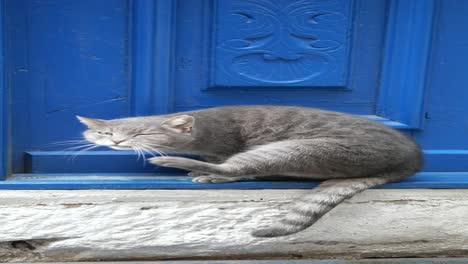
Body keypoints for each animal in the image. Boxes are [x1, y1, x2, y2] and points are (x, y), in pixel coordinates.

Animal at [77, 105, 424, 237]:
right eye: (106, 133)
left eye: (141, 134)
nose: (117, 142)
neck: (204, 127)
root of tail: (411, 161)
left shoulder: (225, 145)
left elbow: (225, 160)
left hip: (297, 149)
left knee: (240, 169)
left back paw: (184, 165)